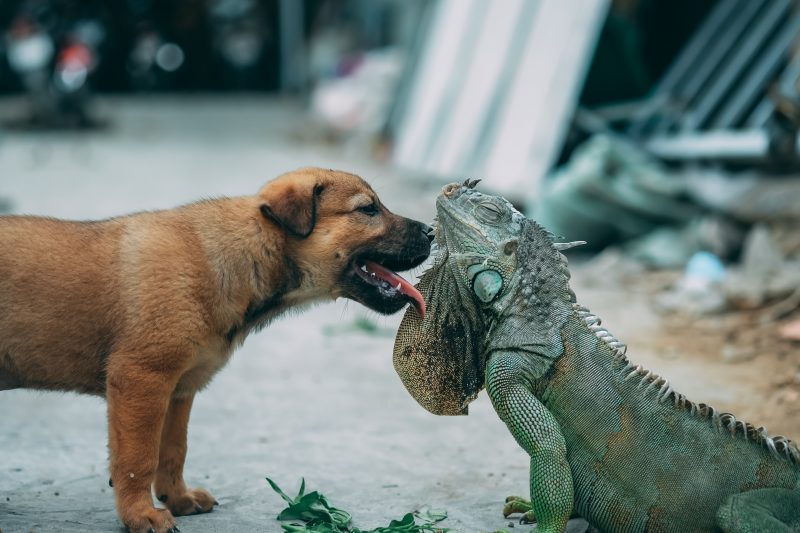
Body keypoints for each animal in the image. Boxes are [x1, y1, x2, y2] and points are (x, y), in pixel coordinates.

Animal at [0, 167, 432, 532]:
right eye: (368, 209)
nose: (431, 231)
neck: (236, 257)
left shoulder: (180, 389)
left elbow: (172, 450)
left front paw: (177, 499)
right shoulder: (141, 379)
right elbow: (138, 458)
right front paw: (140, 515)